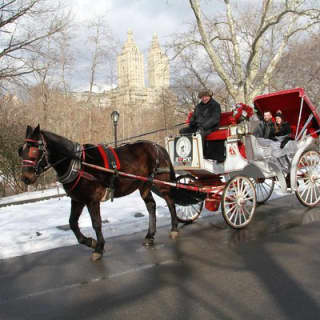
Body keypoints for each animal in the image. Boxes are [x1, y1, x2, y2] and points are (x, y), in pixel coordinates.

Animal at [18, 124, 179, 262]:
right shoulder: (77, 200)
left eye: (34, 150)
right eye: (21, 151)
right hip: (144, 186)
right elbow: (72, 223)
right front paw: (91, 242)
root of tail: (158, 147)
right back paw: (150, 236)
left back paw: (174, 228)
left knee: (170, 202)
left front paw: (99, 248)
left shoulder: (92, 200)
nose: (26, 178)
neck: (79, 163)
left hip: (161, 183)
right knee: (151, 205)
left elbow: (96, 223)